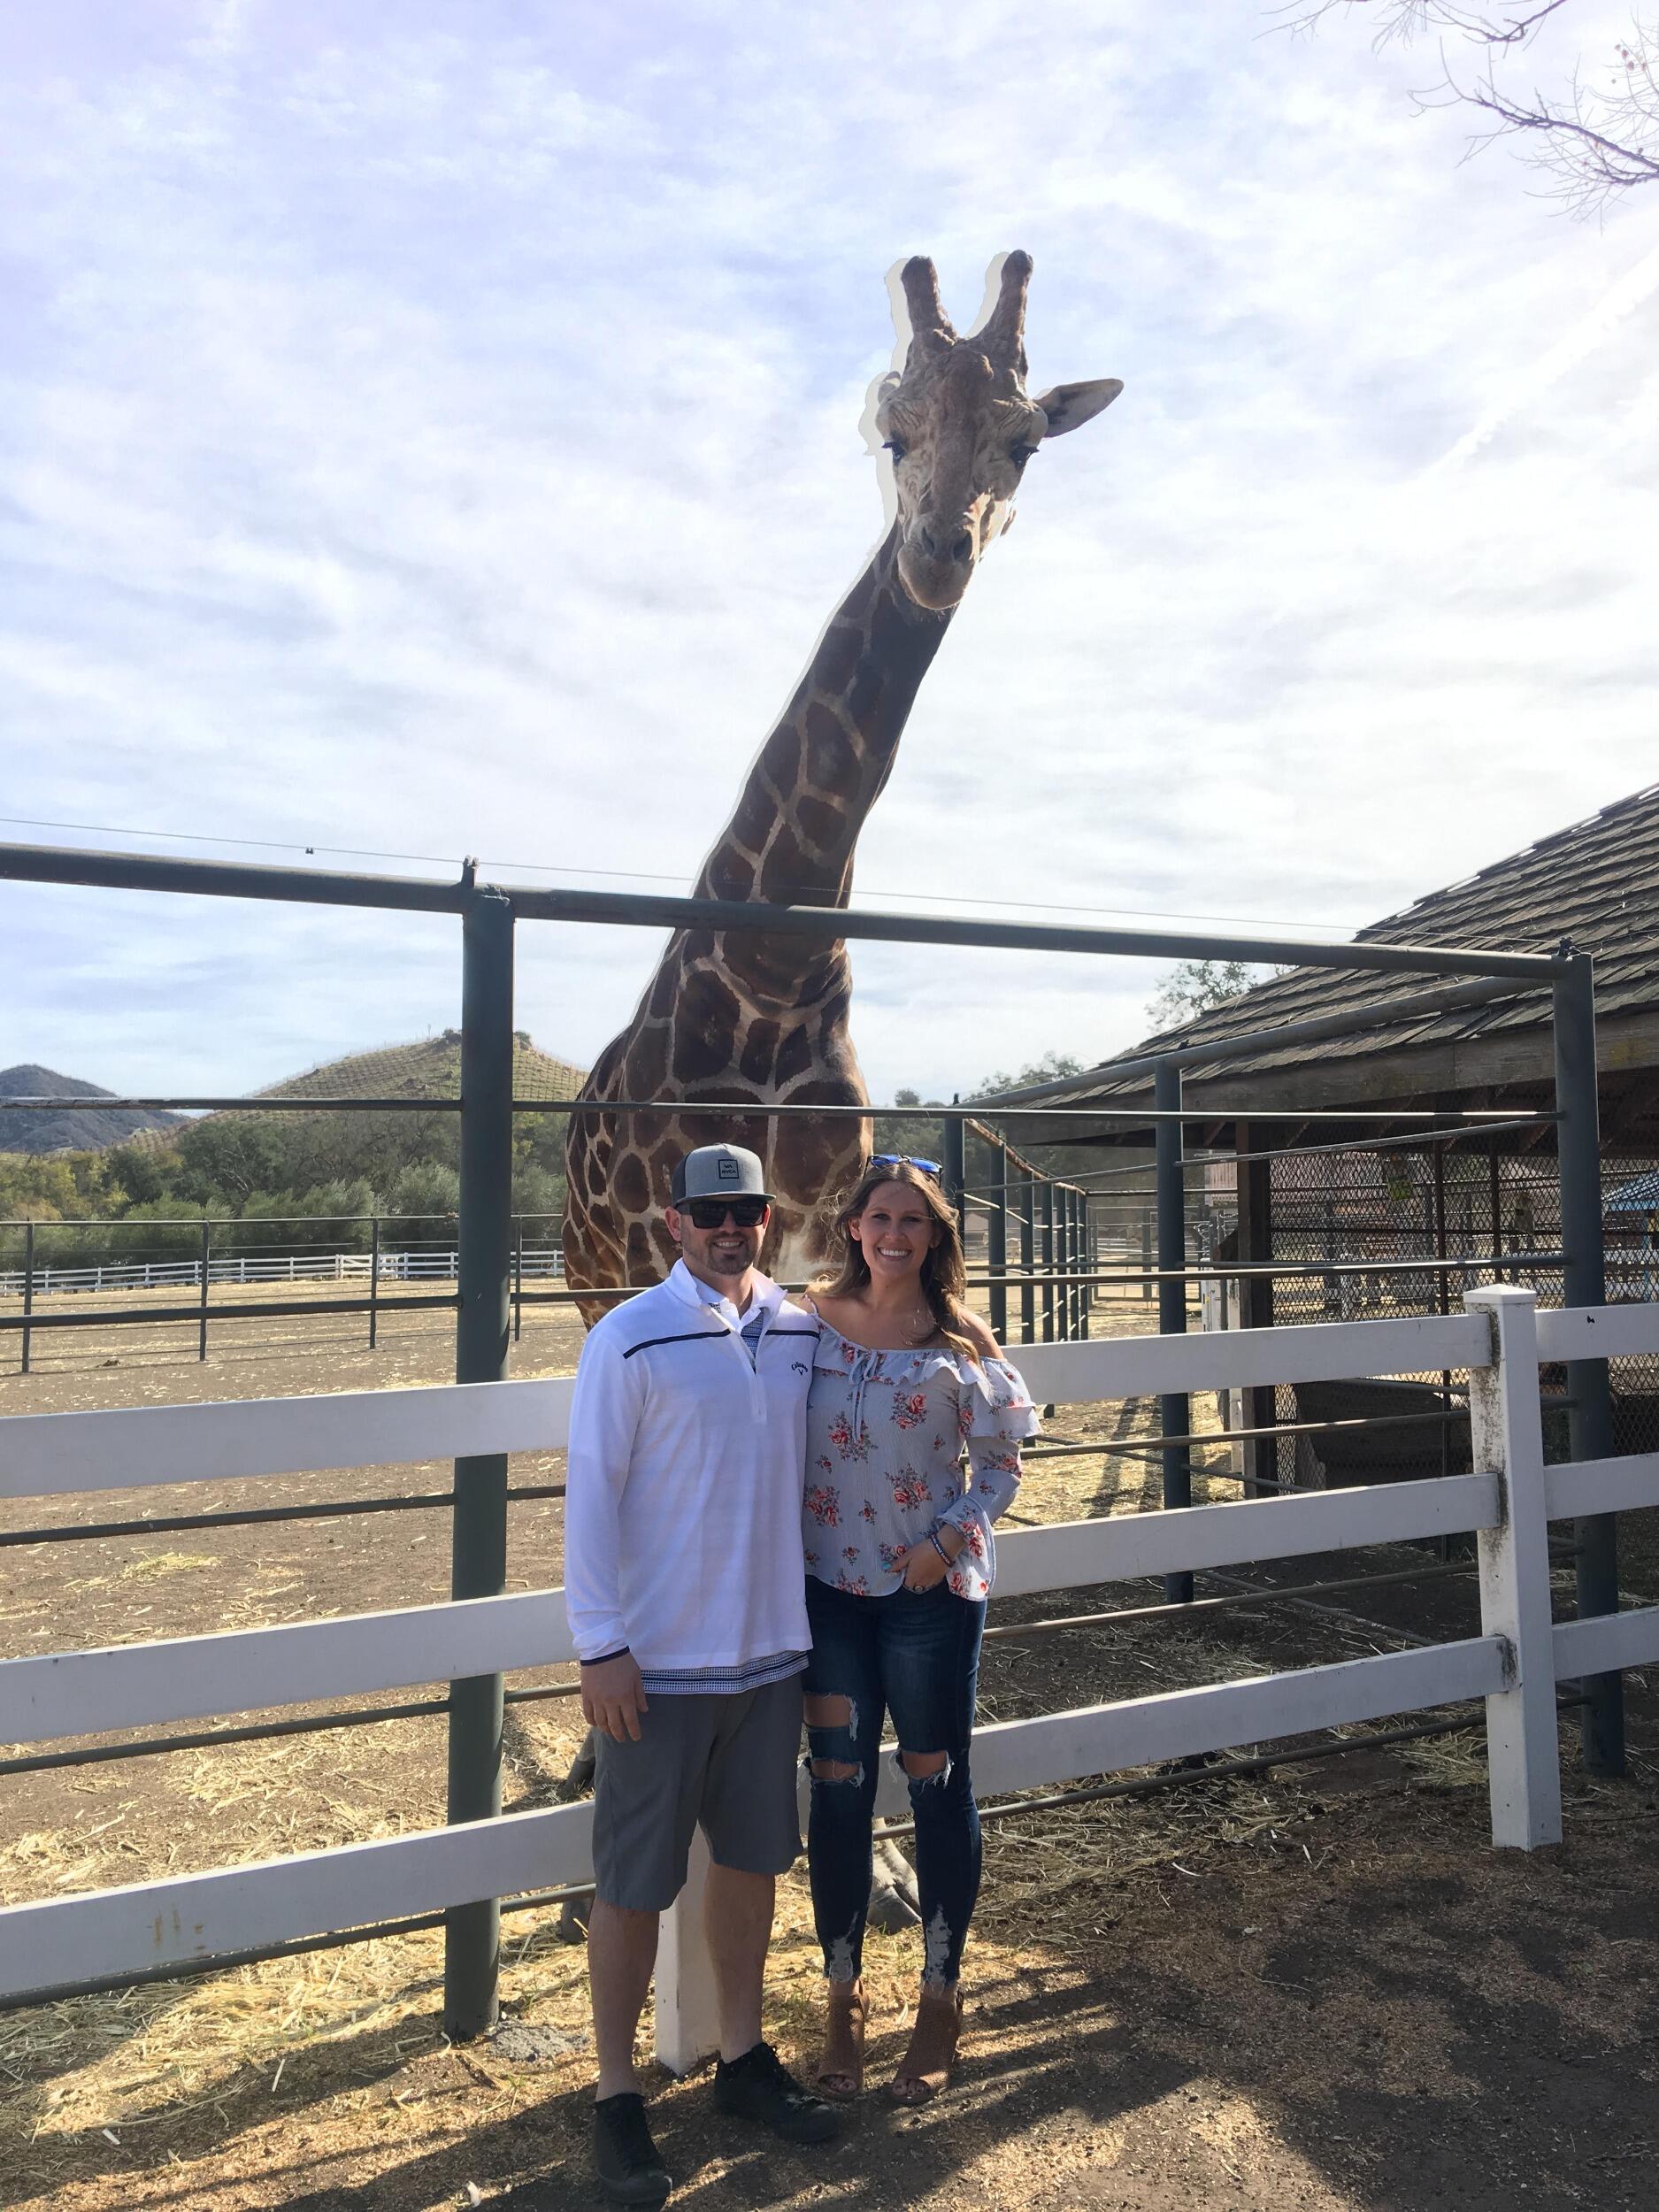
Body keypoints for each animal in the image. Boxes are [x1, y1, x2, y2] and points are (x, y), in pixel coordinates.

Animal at [562, 250, 1122, 1317]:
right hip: (587, 1271)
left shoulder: (826, 1228)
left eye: (1025, 443)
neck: (776, 965)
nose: (940, 552)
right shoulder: (660, 1234)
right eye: (893, 430)